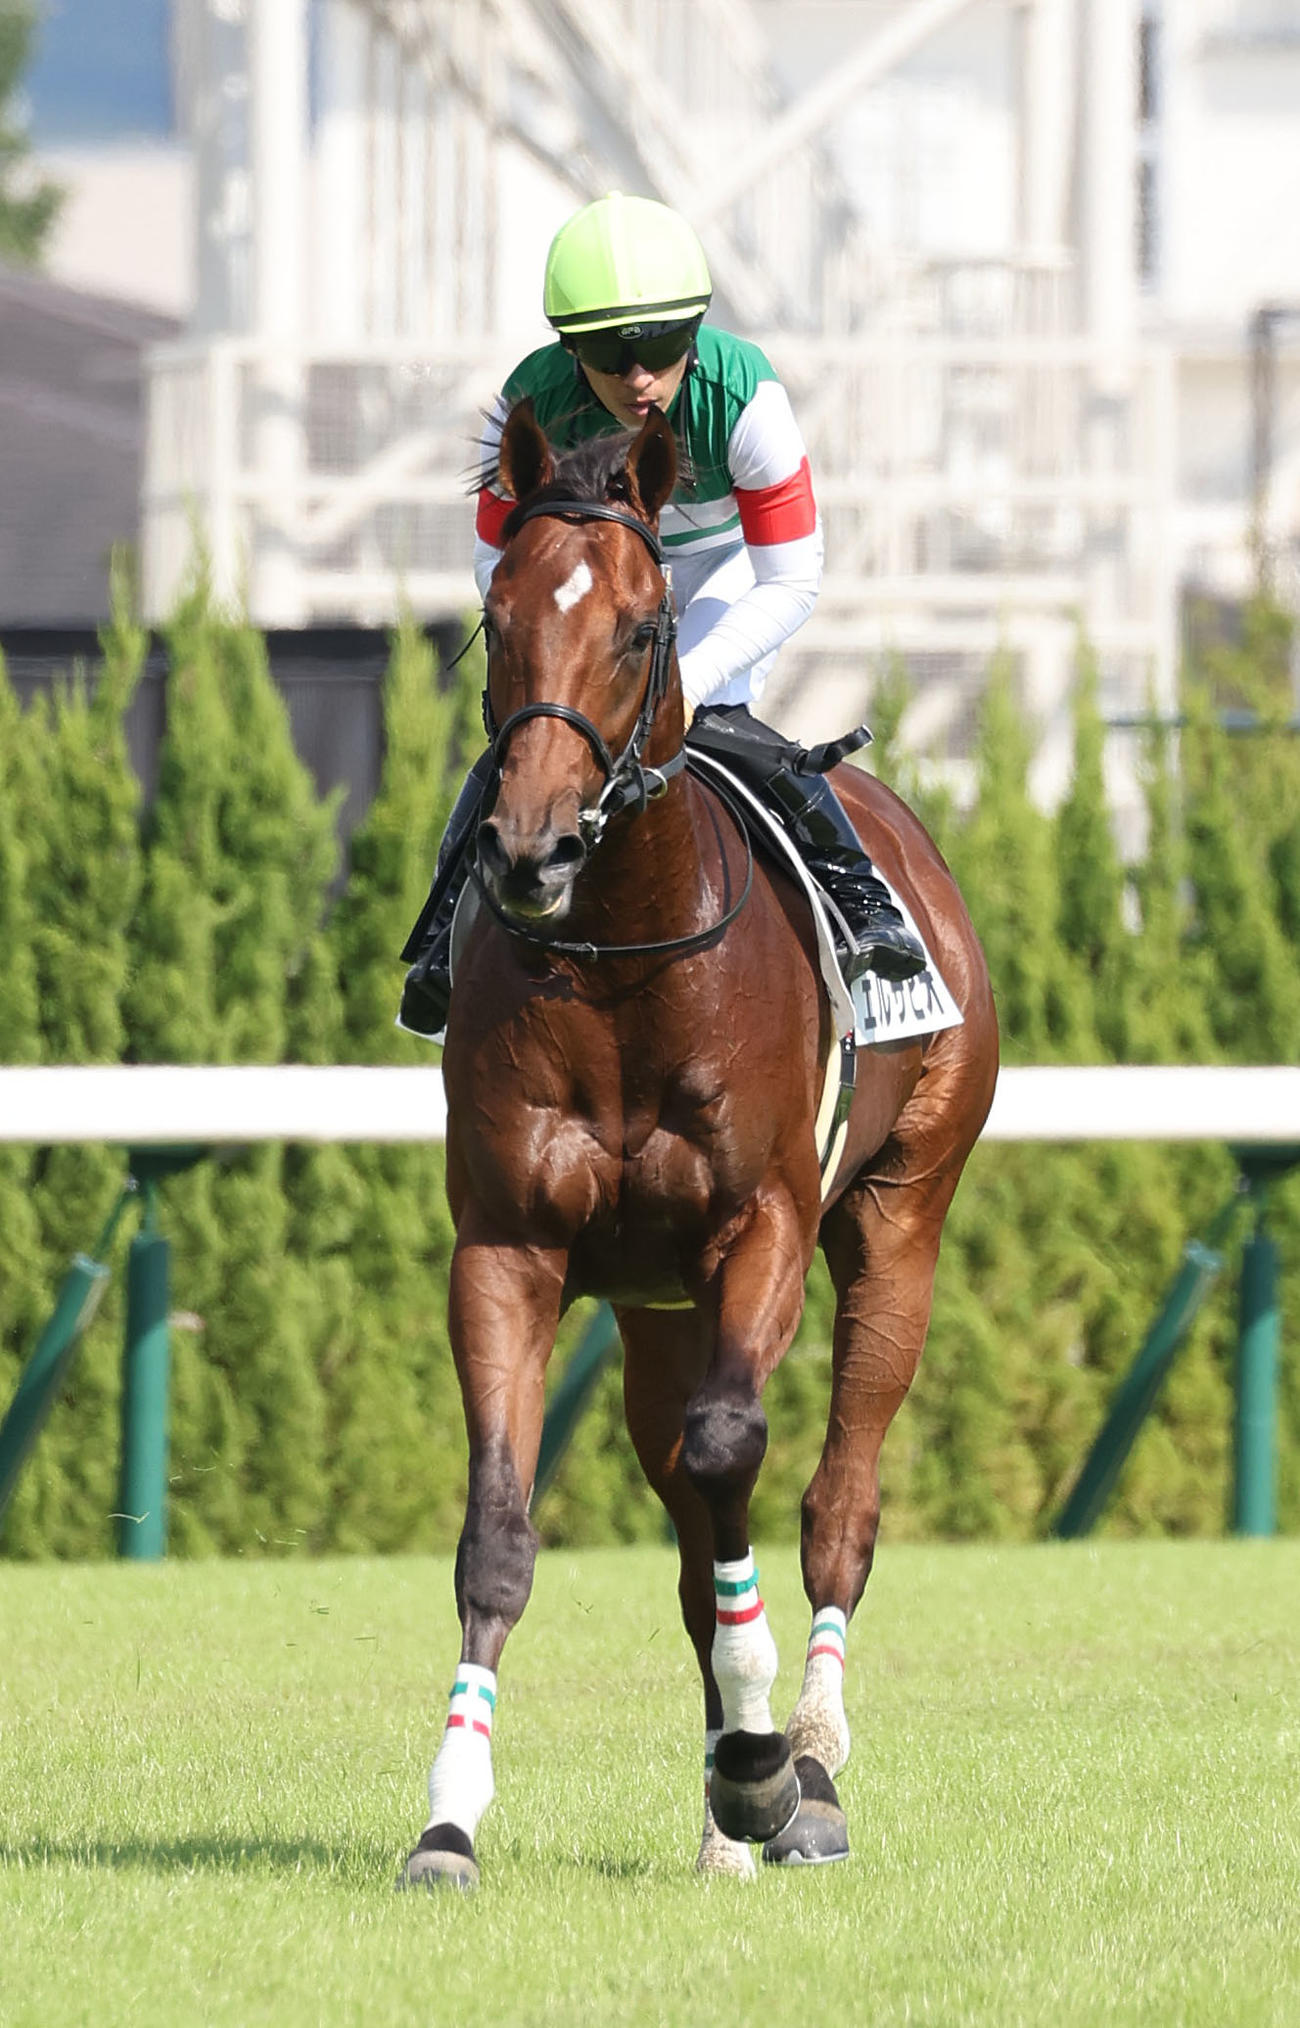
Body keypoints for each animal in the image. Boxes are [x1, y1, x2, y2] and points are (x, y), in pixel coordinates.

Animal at [401, 397, 999, 1889]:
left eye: (637, 629)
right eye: (495, 619)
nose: (531, 850)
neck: (625, 964)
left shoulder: (760, 1227)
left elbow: (740, 1457)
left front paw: (763, 1765)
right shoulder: (510, 1249)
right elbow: (500, 1538)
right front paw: (448, 1816)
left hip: (900, 1216)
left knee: (833, 1504)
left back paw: (808, 1768)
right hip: (658, 1308)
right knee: (689, 1530)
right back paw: (739, 1803)